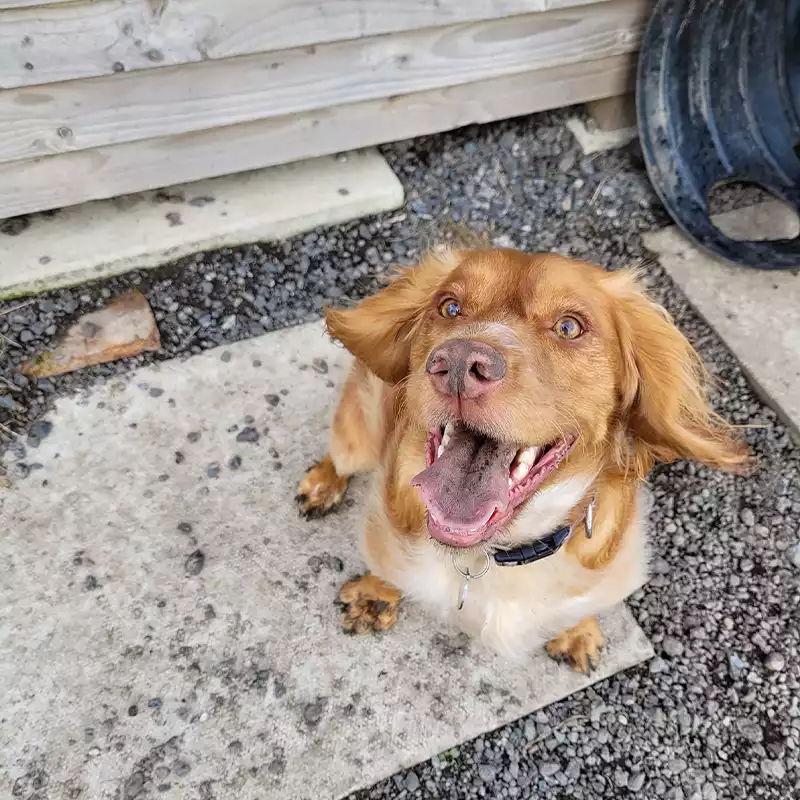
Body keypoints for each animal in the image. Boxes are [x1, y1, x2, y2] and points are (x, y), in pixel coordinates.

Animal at [294, 247, 744, 672]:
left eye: (569, 327)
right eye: (449, 307)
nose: (458, 362)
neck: (495, 553)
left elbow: (584, 602)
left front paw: (578, 631)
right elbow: (387, 567)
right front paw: (375, 595)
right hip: (358, 432)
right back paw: (321, 487)